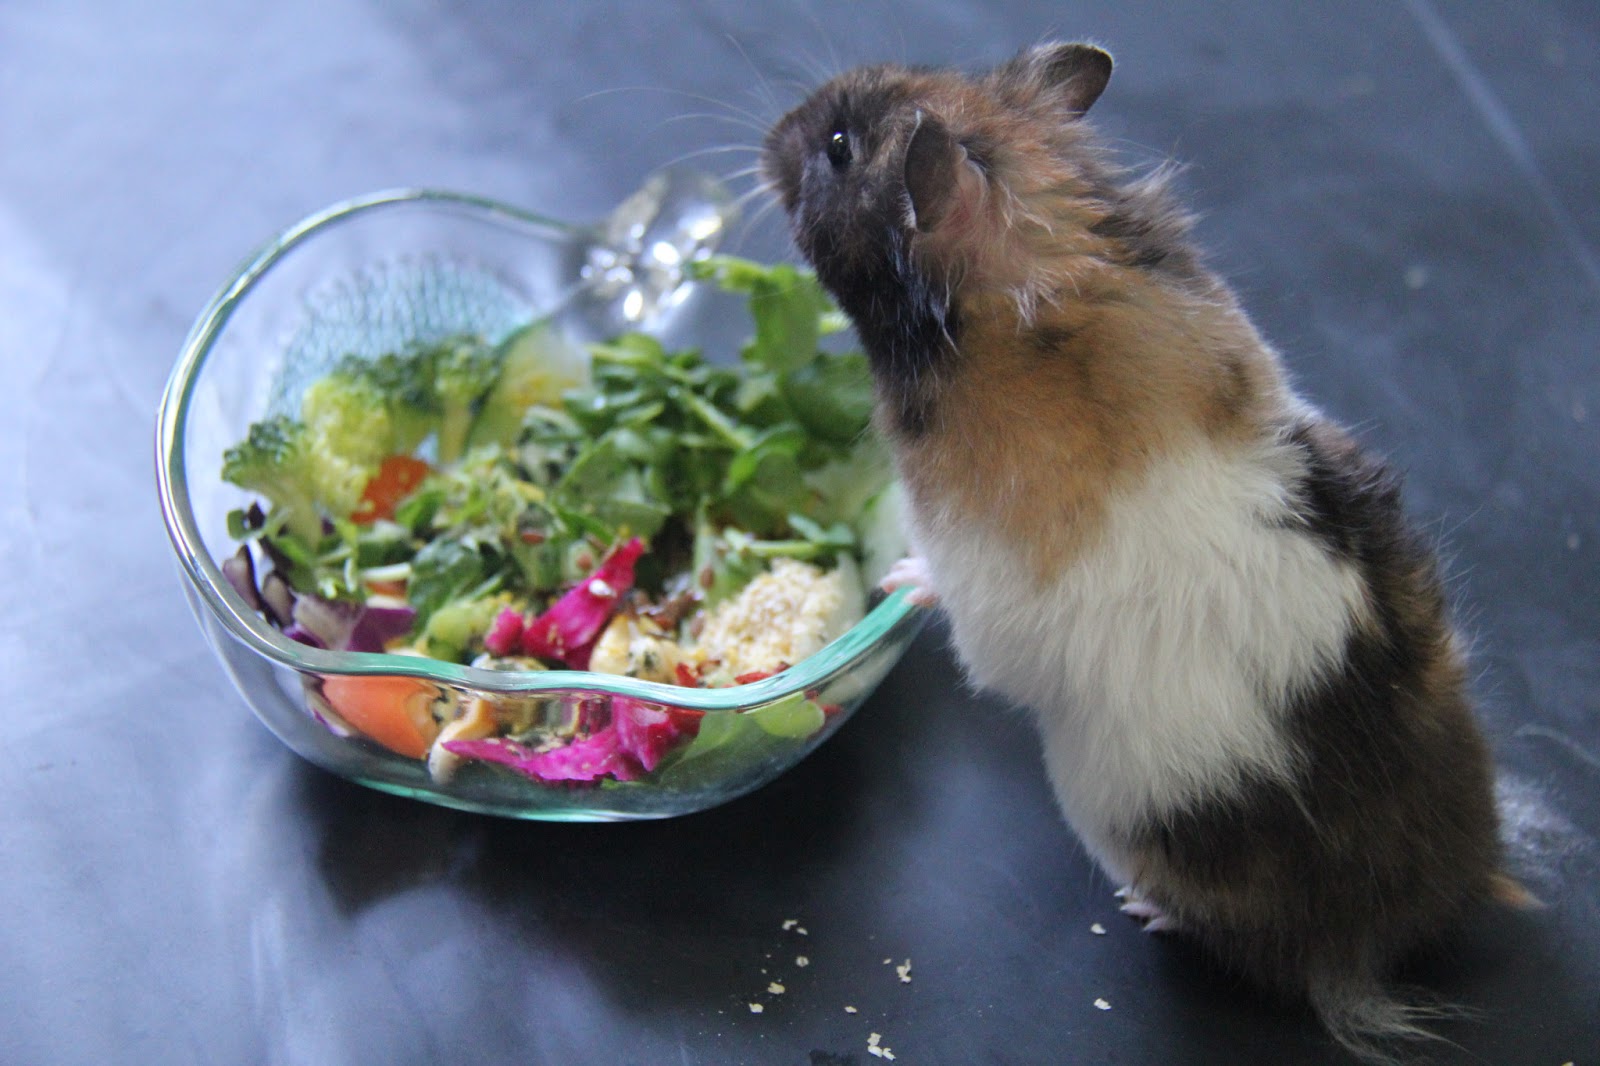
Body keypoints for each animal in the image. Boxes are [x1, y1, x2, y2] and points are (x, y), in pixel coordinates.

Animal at [762, 42, 1527, 1061]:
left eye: (840, 148)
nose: (773, 135)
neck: (1040, 255)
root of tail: (1364, 946)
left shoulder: (978, 574)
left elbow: (944, 596)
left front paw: (896, 579)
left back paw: (1147, 911)